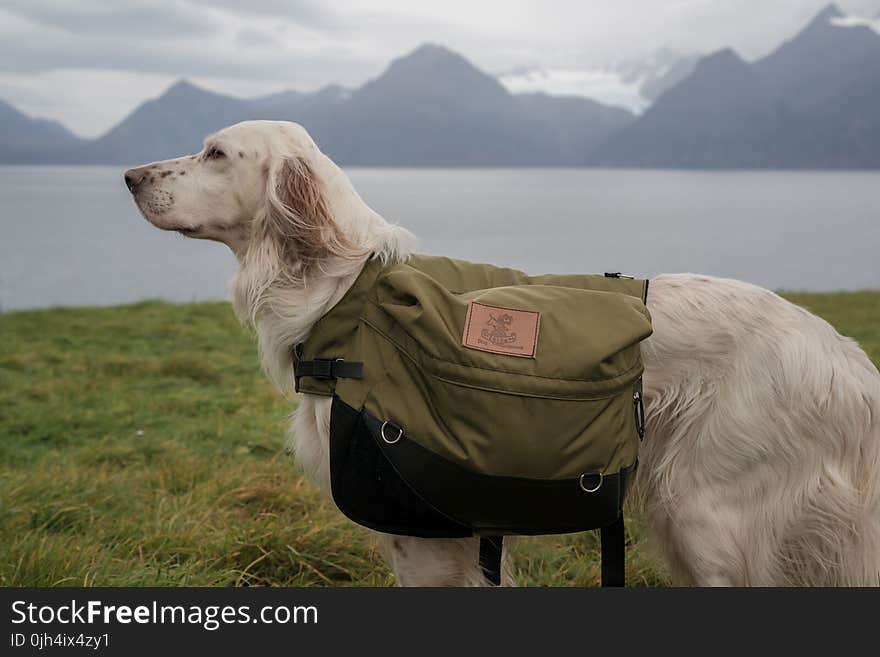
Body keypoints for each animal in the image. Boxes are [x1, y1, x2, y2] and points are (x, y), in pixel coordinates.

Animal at [124, 120, 880, 588]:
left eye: (216, 153)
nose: (129, 175)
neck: (344, 291)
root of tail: (846, 359)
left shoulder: (423, 539)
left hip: (709, 515)